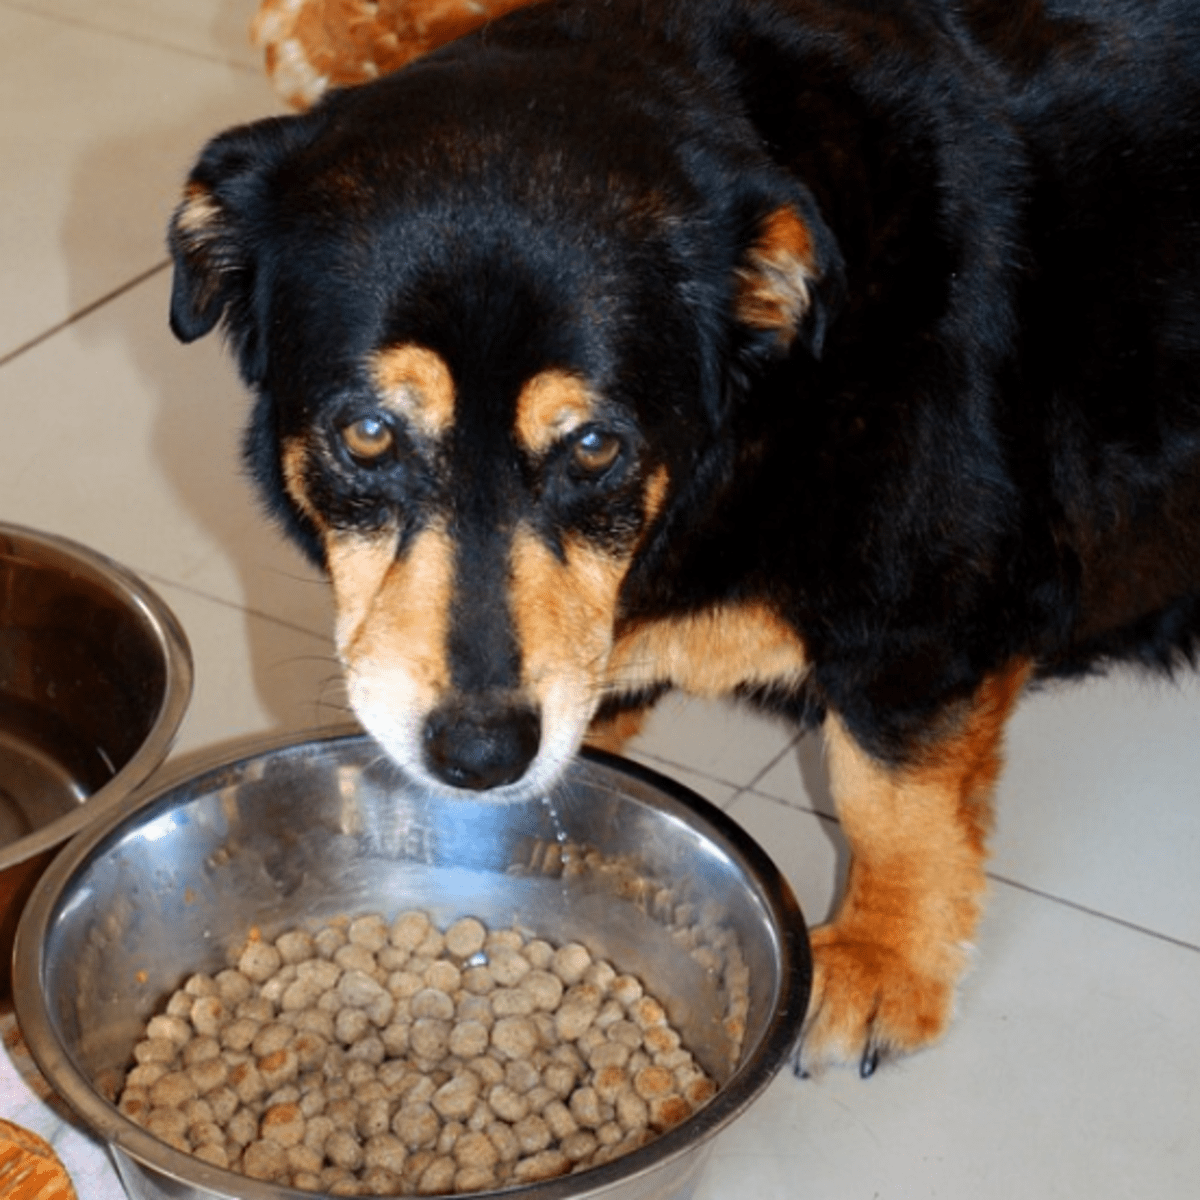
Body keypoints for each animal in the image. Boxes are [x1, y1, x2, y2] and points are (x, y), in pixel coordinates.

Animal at [166, 0, 1200, 1070]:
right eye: (369, 435)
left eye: (594, 446)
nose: (482, 755)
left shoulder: (924, 614)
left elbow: (889, 800)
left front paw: (884, 960)